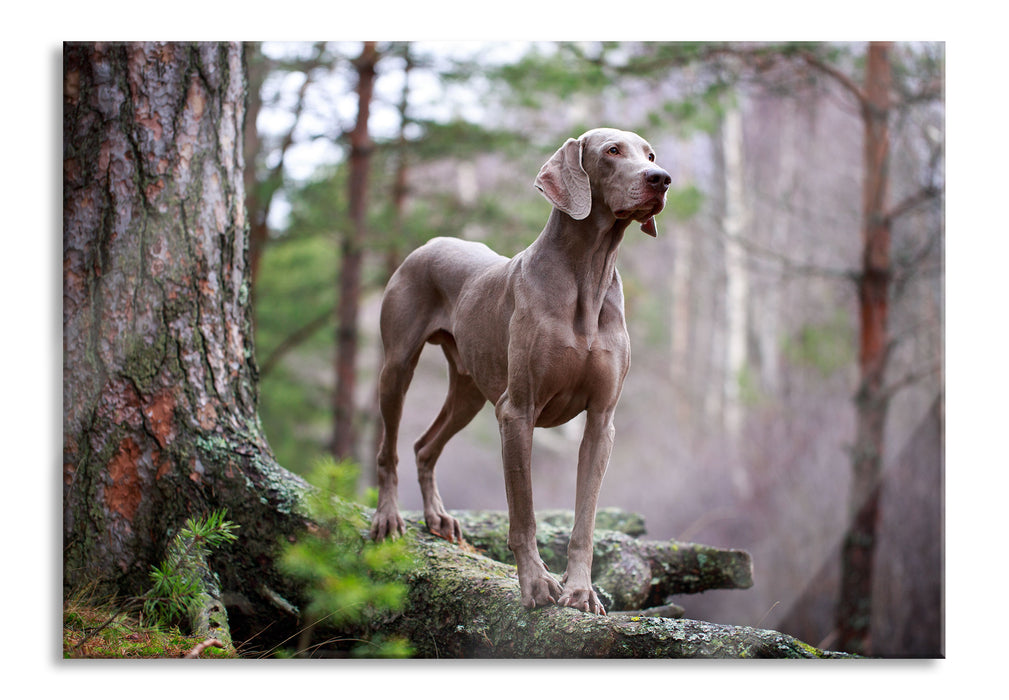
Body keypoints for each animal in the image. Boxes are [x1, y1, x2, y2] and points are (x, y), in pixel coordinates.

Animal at [371, 129, 669, 617]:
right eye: (612, 151)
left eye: (650, 154)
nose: (661, 179)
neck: (588, 274)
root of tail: (430, 243)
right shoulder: (517, 412)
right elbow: (523, 514)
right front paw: (535, 585)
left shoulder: (601, 422)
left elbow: (584, 520)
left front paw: (581, 591)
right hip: (397, 366)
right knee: (389, 449)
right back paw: (388, 517)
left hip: (470, 391)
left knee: (423, 446)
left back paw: (437, 517)